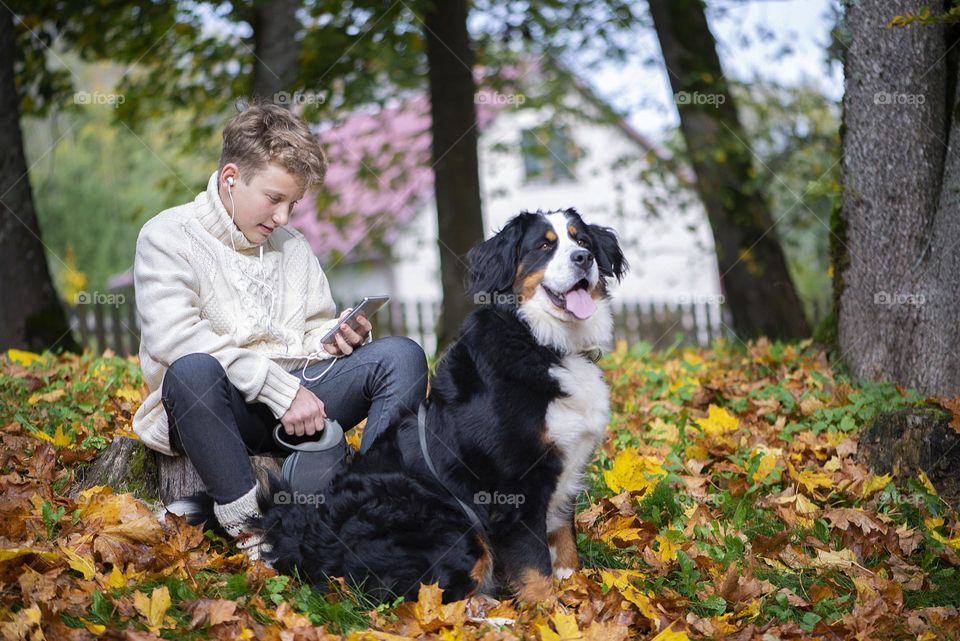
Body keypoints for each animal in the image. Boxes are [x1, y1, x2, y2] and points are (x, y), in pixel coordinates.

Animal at [172, 208, 628, 604]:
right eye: (544, 246)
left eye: (582, 240)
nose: (584, 259)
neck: (543, 343)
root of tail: (304, 533)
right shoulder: (515, 485)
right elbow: (535, 571)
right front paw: (549, 616)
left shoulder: (563, 474)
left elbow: (565, 551)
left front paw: (578, 601)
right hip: (448, 520)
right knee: (423, 598)